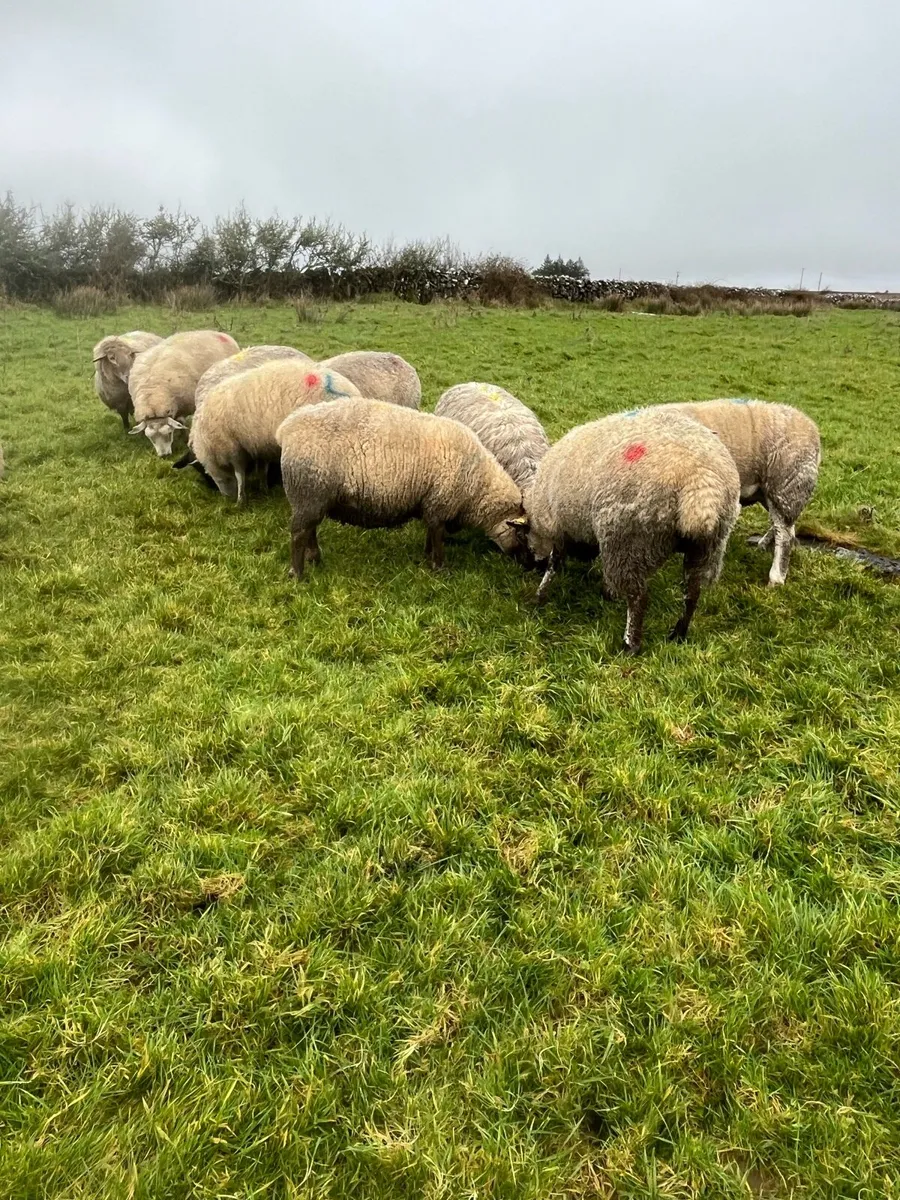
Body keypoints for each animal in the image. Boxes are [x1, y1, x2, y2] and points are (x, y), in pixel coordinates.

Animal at [186, 361, 361, 503]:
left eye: (209, 476)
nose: (226, 498)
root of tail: (350, 393)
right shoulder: (259, 444)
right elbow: (262, 469)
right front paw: (264, 488)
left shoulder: (234, 447)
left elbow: (240, 474)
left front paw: (241, 500)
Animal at [277, 398, 527, 578]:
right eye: (522, 535)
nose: (528, 565)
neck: (477, 484)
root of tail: (288, 428)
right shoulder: (441, 502)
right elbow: (438, 536)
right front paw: (440, 568)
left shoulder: (430, 503)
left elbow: (431, 532)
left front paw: (427, 556)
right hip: (308, 493)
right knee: (299, 533)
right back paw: (298, 574)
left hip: (311, 498)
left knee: (309, 529)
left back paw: (314, 558)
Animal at [526, 408, 741, 654]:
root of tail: (700, 479)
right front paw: (607, 592)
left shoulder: (560, 528)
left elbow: (554, 564)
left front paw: (540, 596)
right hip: (709, 545)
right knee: (693, 591)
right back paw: (678, 633)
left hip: (630, 540)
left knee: (638, 597)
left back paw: (631, 644)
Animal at [655, 398, 820, 585]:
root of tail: (812, 427)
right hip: (772, 491)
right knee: (783, 527)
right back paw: (763, 545)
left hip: (785, 484)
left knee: (785, 534)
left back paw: (775, 579)